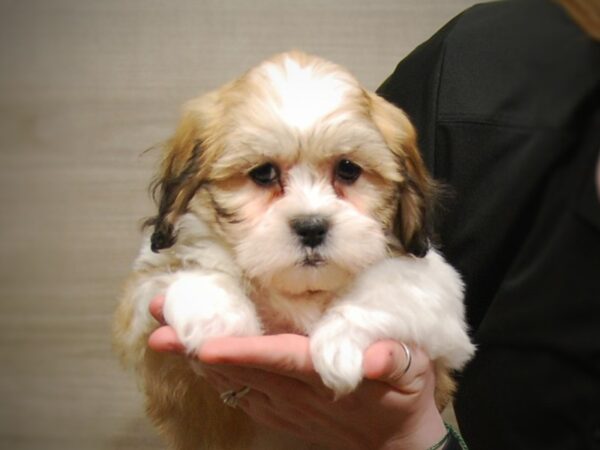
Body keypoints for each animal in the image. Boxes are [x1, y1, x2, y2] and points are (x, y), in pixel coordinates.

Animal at [112, 51, 474, 450]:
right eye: (263, 173)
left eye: (348, 169)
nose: (312, 226)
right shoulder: (142, 307)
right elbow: (186, 267)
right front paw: (214, 315)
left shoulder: (440, 300)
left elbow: (390, 288)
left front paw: (339, 344)